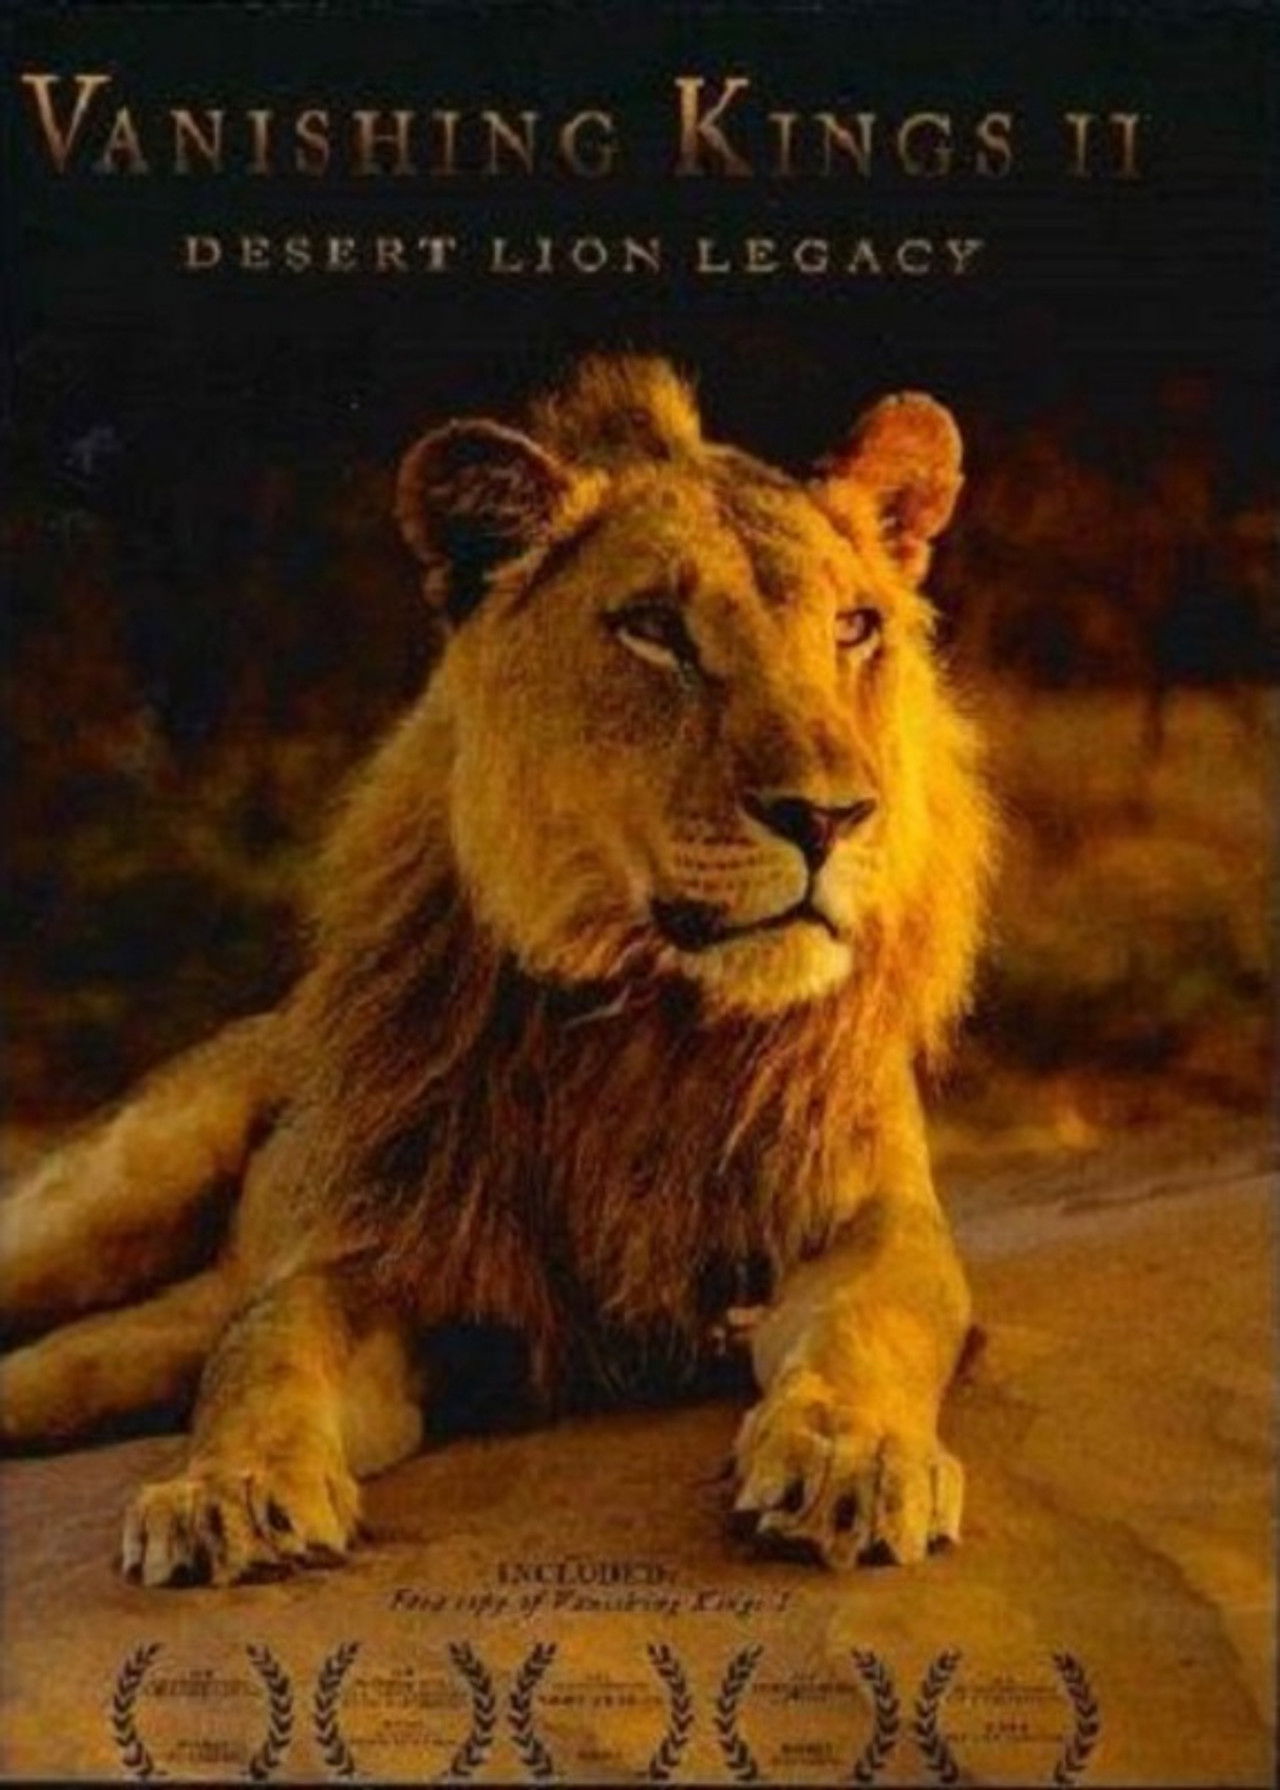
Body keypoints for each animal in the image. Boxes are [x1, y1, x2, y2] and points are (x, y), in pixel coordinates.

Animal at [0, 354, 992, 1586]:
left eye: (855, 627)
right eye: (655, 631)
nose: (829, 816)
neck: (652, 1018)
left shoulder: (866, 1219)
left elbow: (878, 1320)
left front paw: (847, 1455)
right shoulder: (379, 1260)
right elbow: (266, 1350)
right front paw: (226, 1490)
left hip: (119, 1352)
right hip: (104, 1201)